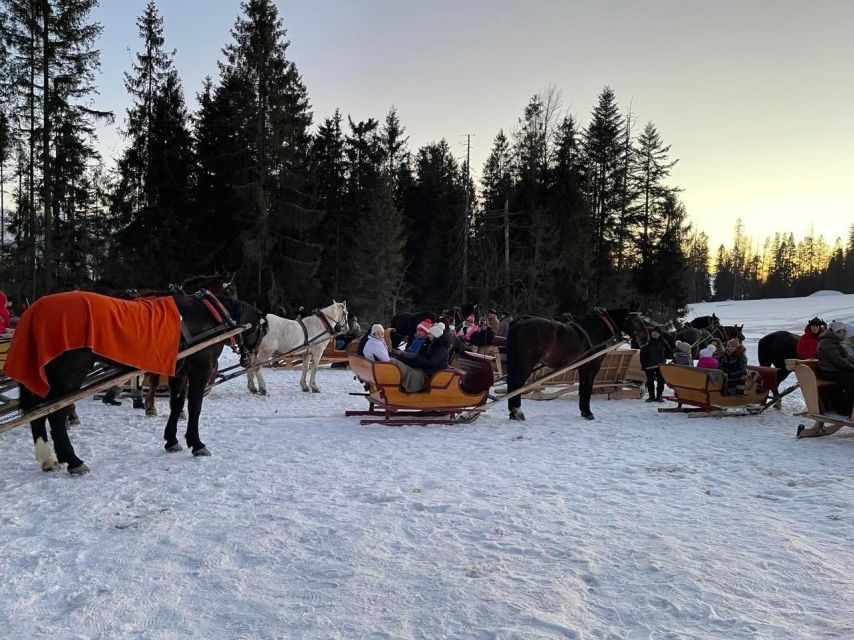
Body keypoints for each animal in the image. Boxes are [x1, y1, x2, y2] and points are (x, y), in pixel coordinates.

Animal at [13, 292, 264, 472]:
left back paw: (47, 459)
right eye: (262, 330)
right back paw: (73, 460)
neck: (209, 315)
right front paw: (197, 443)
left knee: (38, 413)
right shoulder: (199, 369)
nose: (250, 360)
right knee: (55, 415)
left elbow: (176, 405)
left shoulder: (179, 372)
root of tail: (33, 312)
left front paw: (171, 440)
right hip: (68, 377)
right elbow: (194, 406)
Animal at [504, 308, 652, 422]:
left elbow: (583, 388)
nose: (646, 338)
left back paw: (513, 413)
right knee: (516, 384)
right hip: (526, 363)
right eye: (635, 319)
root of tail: (520, 322)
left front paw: (584, 411)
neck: (597, 329)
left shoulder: (583, 367)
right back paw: (517, 411)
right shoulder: (592, 367)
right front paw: (588, 413)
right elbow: (587, 388)